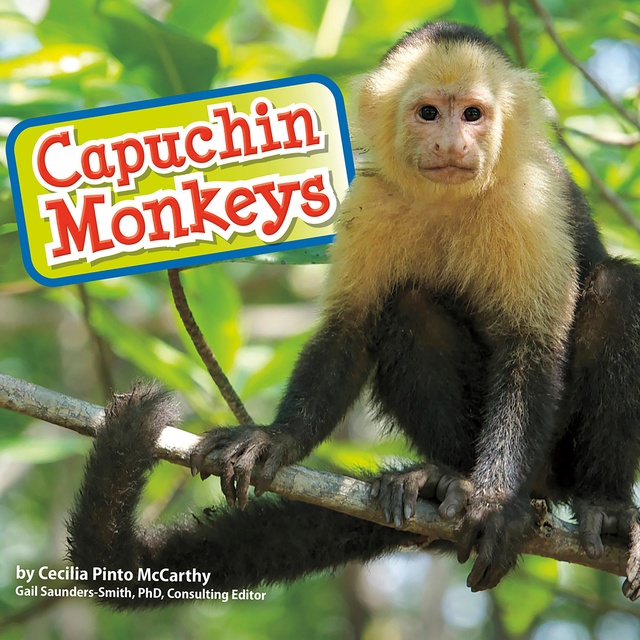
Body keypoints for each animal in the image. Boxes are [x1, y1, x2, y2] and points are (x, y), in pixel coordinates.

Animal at [67, 21, 640, 607]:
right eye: (429, 112)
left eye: (473, 114)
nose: (451, 143)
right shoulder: (370, 200)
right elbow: (352, 328)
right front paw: (275, 438)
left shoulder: (531, 201)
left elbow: (531, 345)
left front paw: (497, 504)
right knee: (409, 307)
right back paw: (444, 479)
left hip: (554, 459)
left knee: (615, 291)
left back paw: (603, 505)